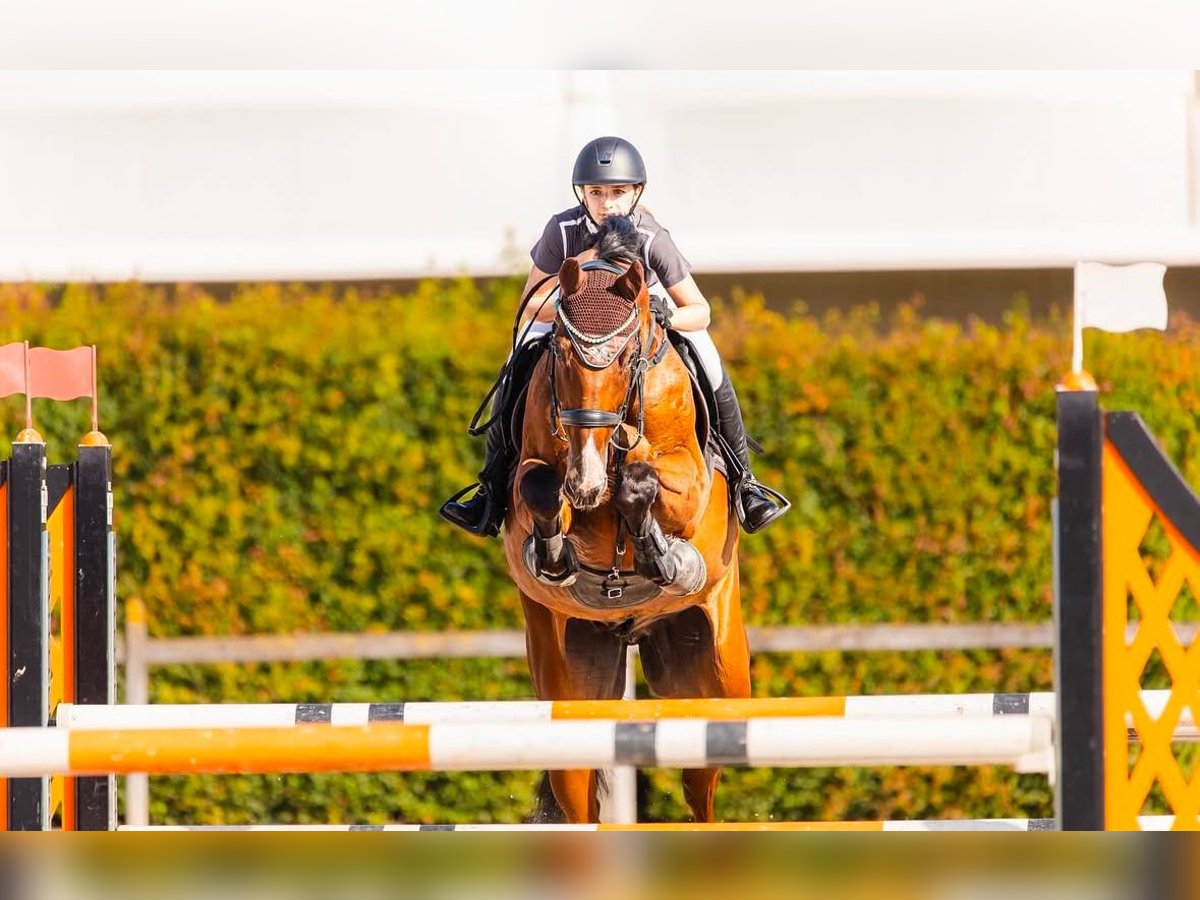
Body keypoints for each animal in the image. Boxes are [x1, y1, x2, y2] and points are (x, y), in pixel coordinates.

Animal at [499, 225, 744, 825]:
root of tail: (632, 633)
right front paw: (556, 557)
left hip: (718, 677)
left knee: (701, 786)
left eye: (628, 355)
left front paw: (660, 555)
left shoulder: (691, 481)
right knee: (578, 794)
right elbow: (541, 489)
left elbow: (642, 480)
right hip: (568, 684)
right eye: (562, 353)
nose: (586, 483)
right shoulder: (534, 474)